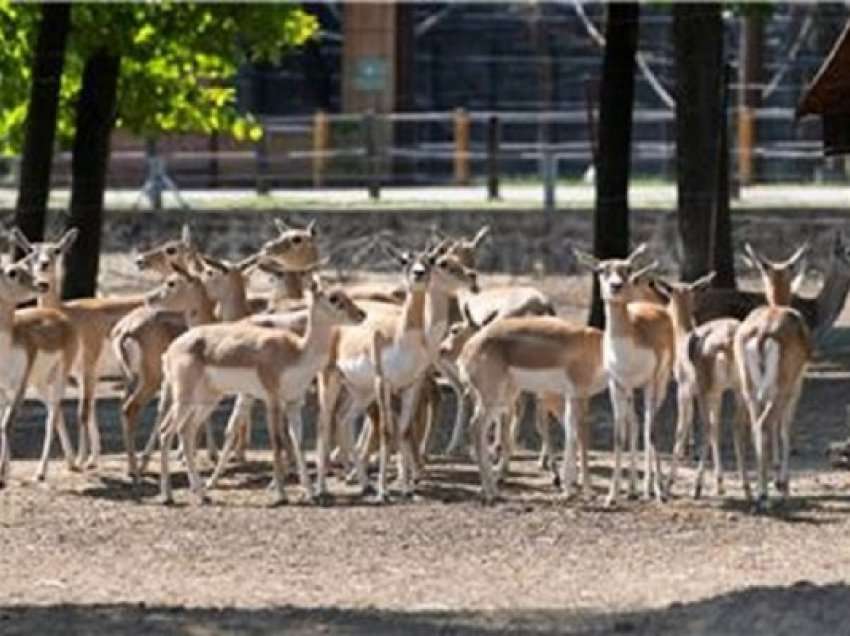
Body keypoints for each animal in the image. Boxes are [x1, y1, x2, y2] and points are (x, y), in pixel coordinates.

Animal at [0, 258, 78, 486]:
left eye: (26, 267)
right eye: (13, 272)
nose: (43, 284)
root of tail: (59, 315)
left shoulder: (20, 386)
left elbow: (7, 424)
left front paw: (2, 476)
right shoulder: (3, 390)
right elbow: (2, 425)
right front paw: (5, 472)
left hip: (59, 376)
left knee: (51, 417)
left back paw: (41, 473)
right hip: (40, 383)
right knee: (56, 410)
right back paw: (72, 463)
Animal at [156, 280, 364, 504]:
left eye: (346, 294)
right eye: (334, 298)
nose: (362, 314)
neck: (296, 352)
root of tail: (170, 349)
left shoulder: (294, 403)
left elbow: (298, 444)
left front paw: (310, 493)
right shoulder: (272, 401)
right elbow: (278, 442)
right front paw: (281, 494)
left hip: (207, 400)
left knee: (186, 432)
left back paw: (202, 494)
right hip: (184, 398)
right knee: (166, 431)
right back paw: (168, 496)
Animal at [572, 245, 672, 506]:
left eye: (627, 268)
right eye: (601, 269)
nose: (615, 286)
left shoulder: (650, 382)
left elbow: (652, 431)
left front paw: (659, 491)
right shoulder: (616, 384)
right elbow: (619, 435)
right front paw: (612, 495)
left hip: (659, 384)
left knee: (648, 424)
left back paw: (651, 489)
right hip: (629, 390)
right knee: (634, 423)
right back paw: (634, 489)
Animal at [648, 270, 748, 500]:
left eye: (669, 294)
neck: (684, 337)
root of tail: (729, 339)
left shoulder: (684, 391)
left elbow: (681, 430)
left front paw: (669, 484)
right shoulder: (717, 394)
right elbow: (717, 428)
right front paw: (720, 484)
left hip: (704, 390)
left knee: (706, 428)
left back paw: (697, 487)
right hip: (739, 391)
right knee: (737, 427)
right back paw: (747, 488)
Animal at [728, 241, 808, 510]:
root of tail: (763, 333)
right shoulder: (795, 387)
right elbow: (784, 427)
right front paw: (782, 483)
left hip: (750, 391)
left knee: (751, 427)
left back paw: (755, 491)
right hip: (779, 389)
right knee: (764, 424)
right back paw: (764, 495)